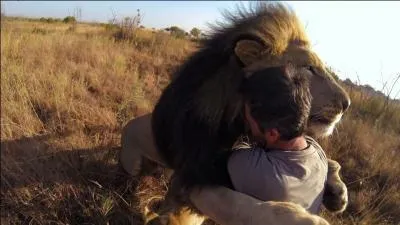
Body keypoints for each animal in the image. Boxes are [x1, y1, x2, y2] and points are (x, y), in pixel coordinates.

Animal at [120, 2, 348, 225]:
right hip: (132, 164)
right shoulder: (195, 174)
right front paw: (302, 219)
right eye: (309, 68)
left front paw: (338, 192)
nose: (346, 104)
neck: (238, 120)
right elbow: (238, 204)